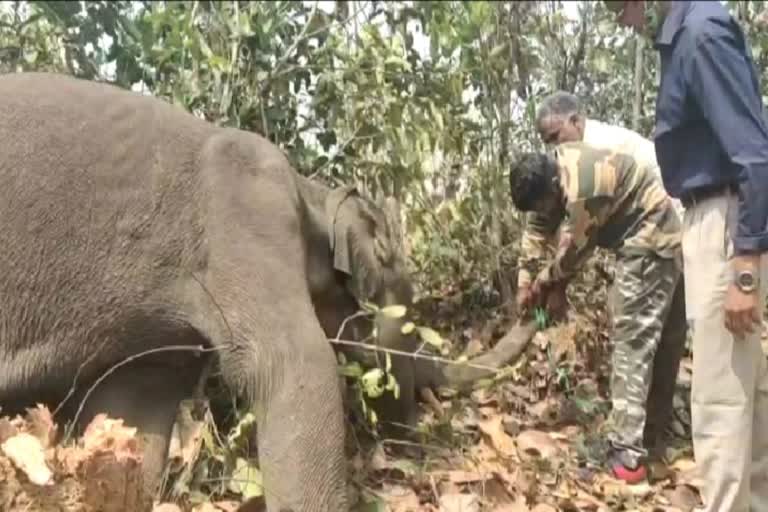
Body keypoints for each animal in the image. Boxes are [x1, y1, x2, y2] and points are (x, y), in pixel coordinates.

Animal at [0, 73, 540, 512]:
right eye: (408, 319)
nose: (418, 448)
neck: (310, 192)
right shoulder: (247, 215)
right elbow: (296, 366)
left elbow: (131, 408)